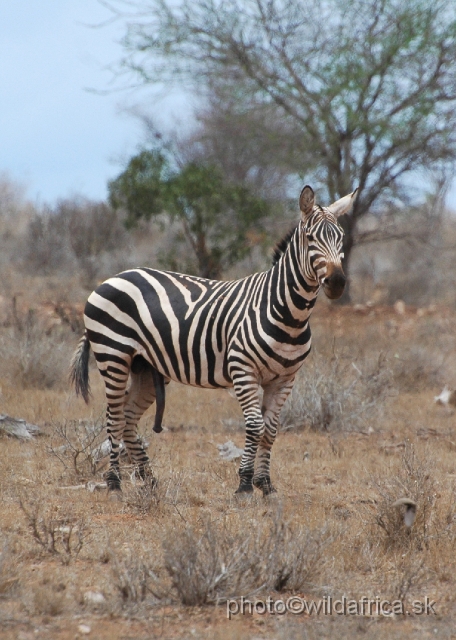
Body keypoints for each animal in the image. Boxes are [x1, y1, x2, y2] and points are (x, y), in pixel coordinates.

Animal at [70, 185, 356, 496]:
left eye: (341, 237)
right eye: (310, 238)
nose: (337, 283)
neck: (288, 313)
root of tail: (113, 278)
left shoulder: (285, 379)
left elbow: (271, 430)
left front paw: (266, 484)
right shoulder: (243, 370)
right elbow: (254, 426)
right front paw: (245, 483)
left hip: (143, 368)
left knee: (128, 418)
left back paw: (150, 480)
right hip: (113, 355)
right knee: (114, 417)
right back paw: (114, 482)